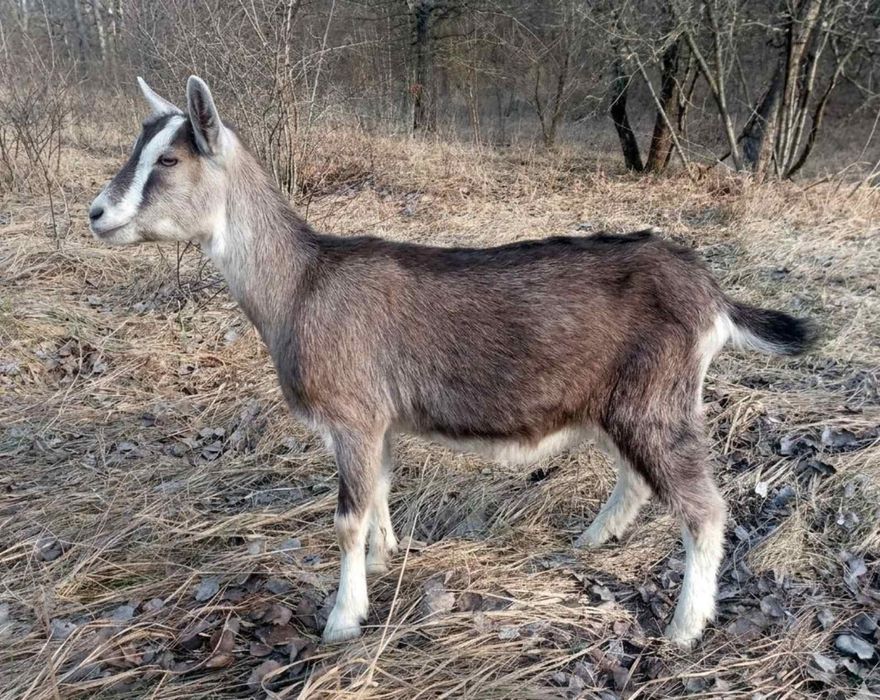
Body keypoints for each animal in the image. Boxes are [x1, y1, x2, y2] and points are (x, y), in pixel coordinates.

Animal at [89, 76, 816, 647]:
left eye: (170, 158)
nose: (97, 213)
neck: (298, 286)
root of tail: (711, 294)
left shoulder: (351, 413)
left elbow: (347, 516)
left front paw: (343, 618)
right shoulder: (378, 420)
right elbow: (380, 490)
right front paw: (384, 561)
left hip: (656, 399)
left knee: (703, 507)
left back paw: (685, 627)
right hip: (620, 400)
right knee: (638, 480)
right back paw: (591, 542)